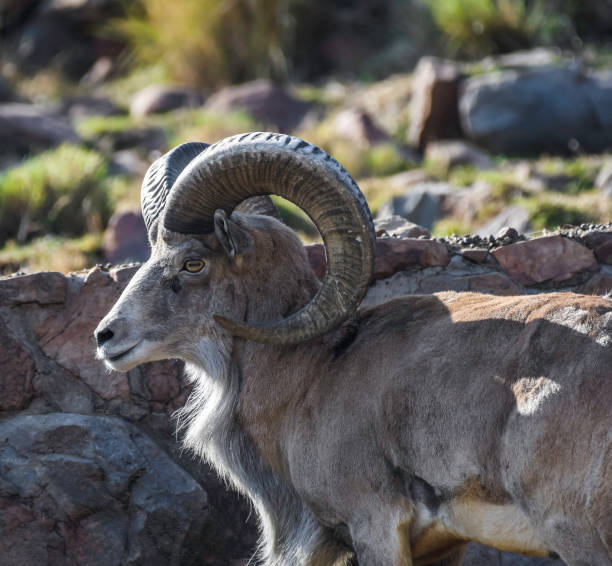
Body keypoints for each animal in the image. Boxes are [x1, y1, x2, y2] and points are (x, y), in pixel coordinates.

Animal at [95, 134, 612, 566]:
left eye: (193, 263)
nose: (106, 336)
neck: (314, 373)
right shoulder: (441, 548)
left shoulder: (375, 525)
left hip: (576, 536)